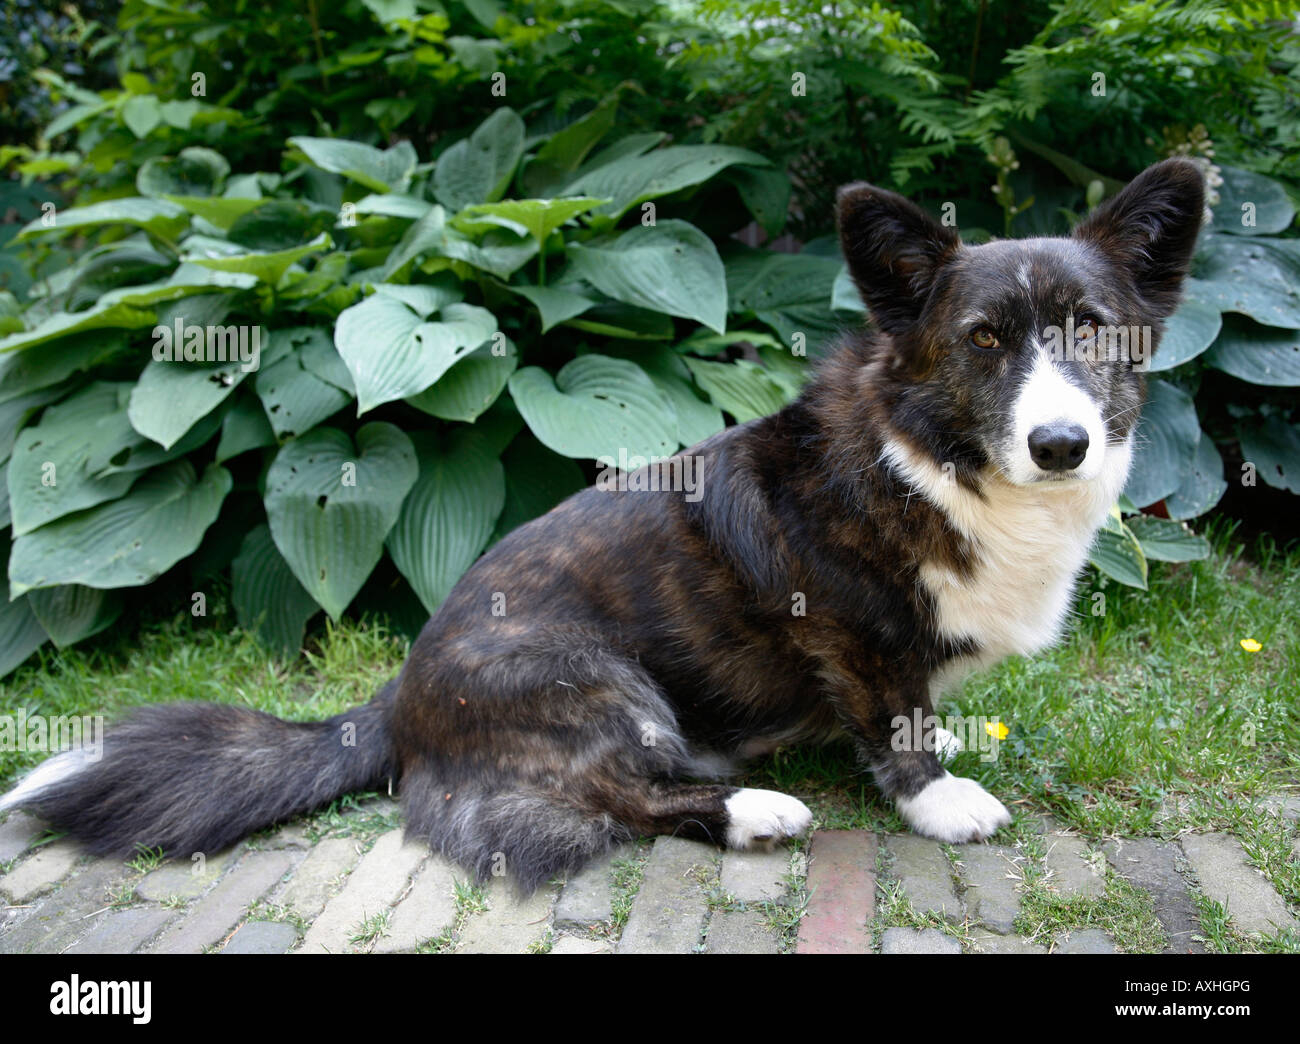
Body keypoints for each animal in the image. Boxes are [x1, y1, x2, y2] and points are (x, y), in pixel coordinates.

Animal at [0, 155, 1201, 889]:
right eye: (984, 340)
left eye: (1092, 331)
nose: (1061, 445)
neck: (935, 464)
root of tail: (394, 699)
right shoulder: (853, 637)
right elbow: (895, 724)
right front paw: (942, 801)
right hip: (594, 677)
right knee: (618, 794)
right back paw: (754, 810)